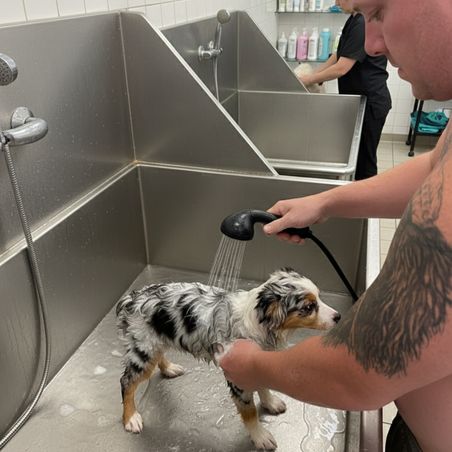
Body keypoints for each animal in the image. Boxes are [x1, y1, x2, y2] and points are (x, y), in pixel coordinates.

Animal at [116, 268, 340, 450]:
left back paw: (169, 368)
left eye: (319, 297)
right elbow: (250, 412)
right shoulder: (238, 375)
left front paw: (270, 403)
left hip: (156, 341)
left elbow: (264, 386)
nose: (338, 317)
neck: (258, 323)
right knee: (126, 382)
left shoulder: (257, 360)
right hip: (143, 351)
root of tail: (131, 299)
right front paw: (260, 437)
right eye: (309, 307)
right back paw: (130, 418)